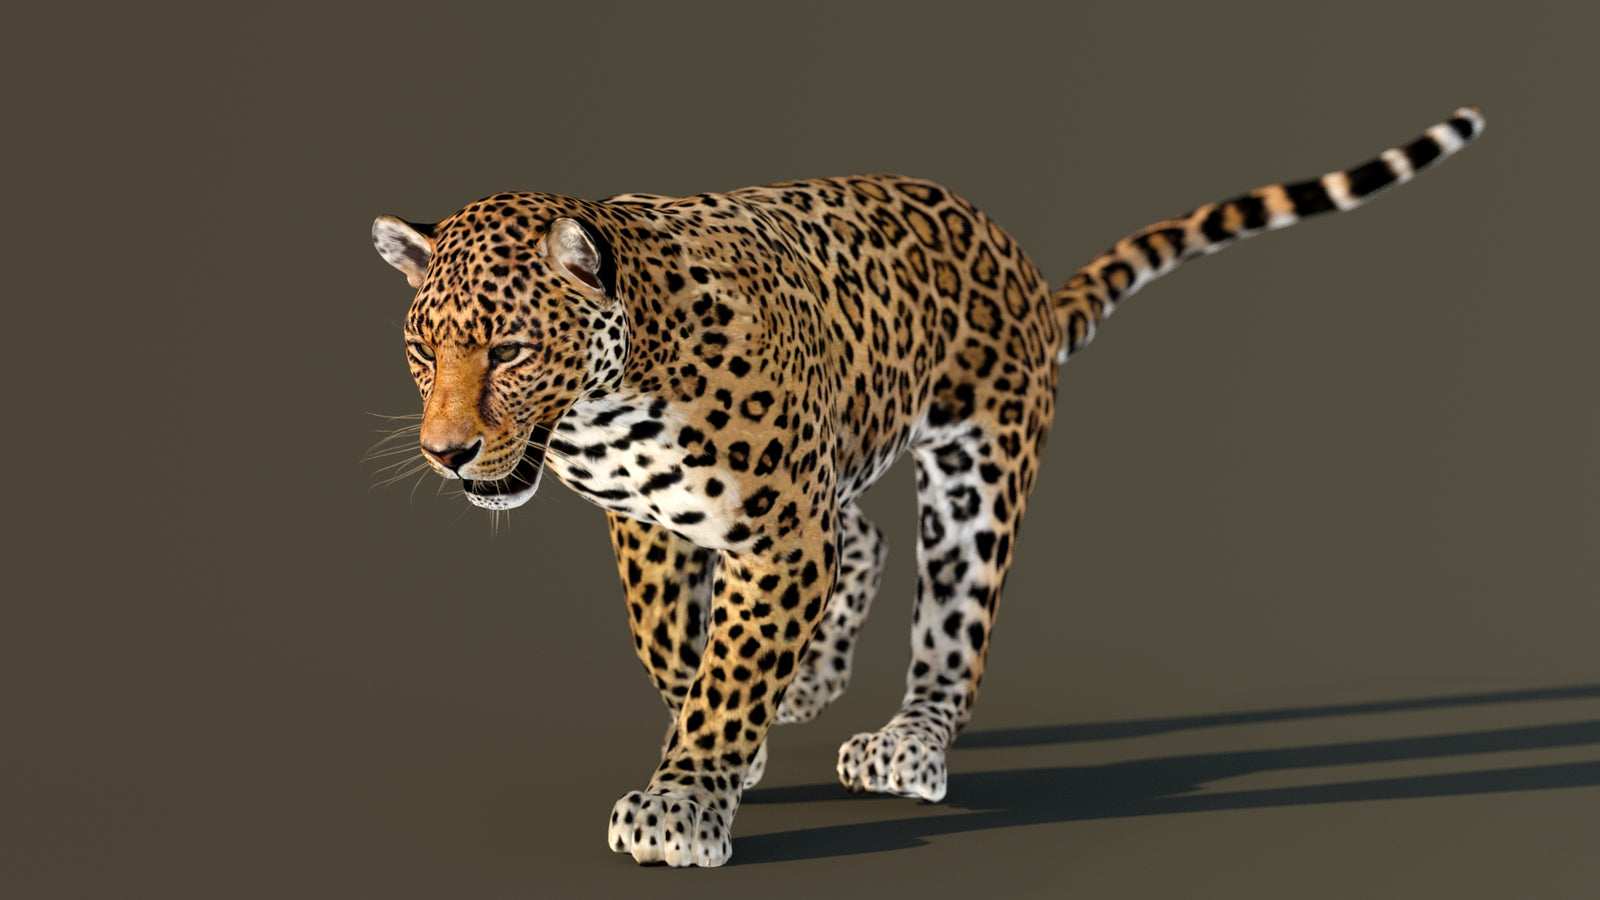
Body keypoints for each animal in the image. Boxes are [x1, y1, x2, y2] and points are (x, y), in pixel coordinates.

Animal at [370, 107, 1484, 867]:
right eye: (423, 352)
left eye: (510, 350)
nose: (447, 453)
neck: (610, 401)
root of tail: (1016, 265)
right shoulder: (652, 521)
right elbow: (669, 643)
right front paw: (727, 737)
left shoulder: (776, 530)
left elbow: (728, 668)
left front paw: (683, 801)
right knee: (860, 541)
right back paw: (812, 681)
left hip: (975, 474)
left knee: (949, 624)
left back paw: (907, 743)